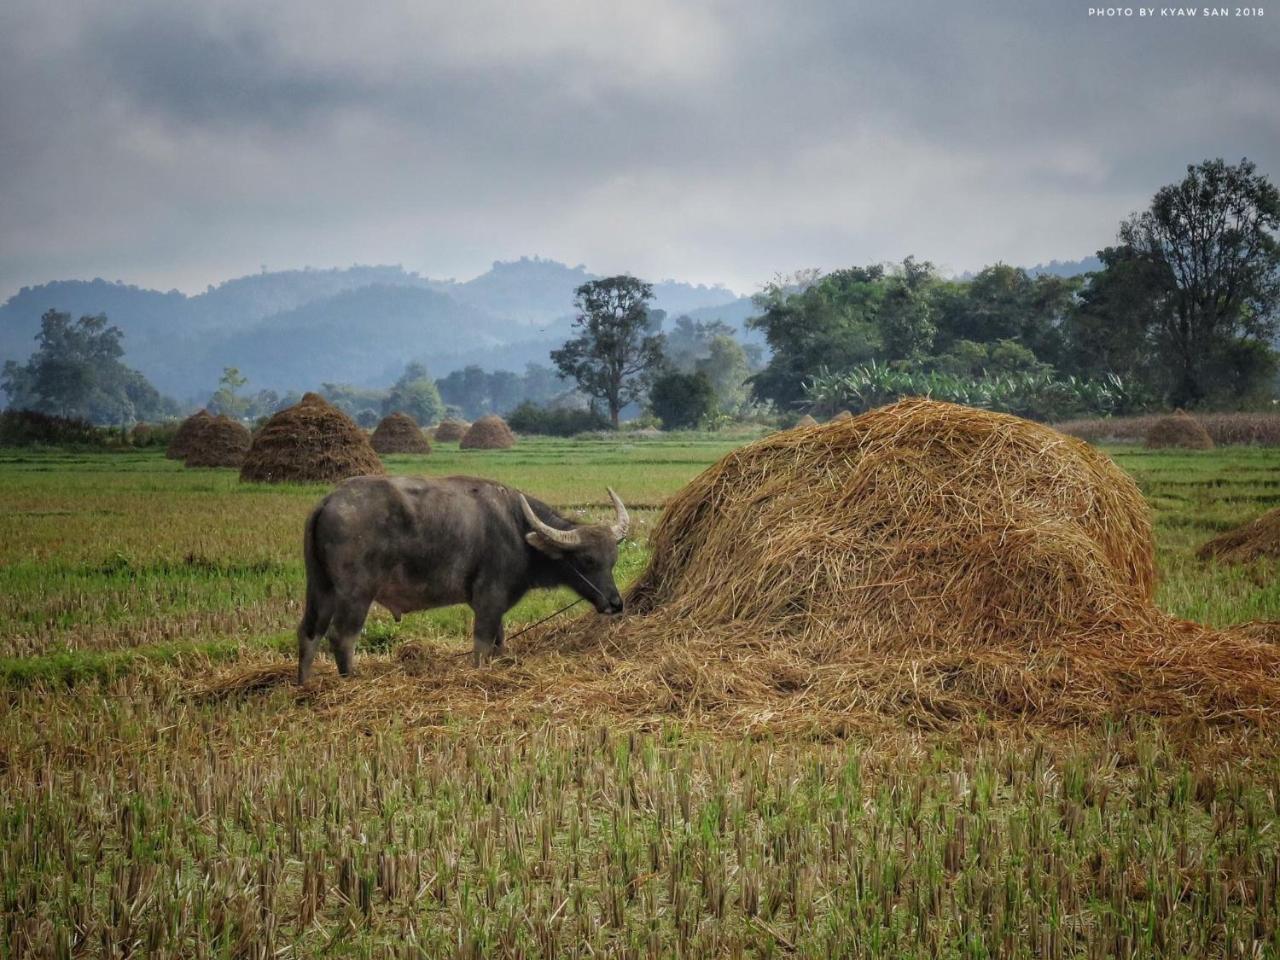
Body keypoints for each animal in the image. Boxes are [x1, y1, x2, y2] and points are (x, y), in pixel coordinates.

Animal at [294, 476, 624, 686]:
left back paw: (304, 685)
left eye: (613, 560)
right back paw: (350, 681)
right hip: (356, 594)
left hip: (321, 588)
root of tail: (327, 502)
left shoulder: (496, 605)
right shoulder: (488, 599)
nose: (615, 603)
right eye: (586, 561)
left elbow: (499, 641)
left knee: (310, 632)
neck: (518, 530)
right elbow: (481, 644)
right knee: (342, 637)